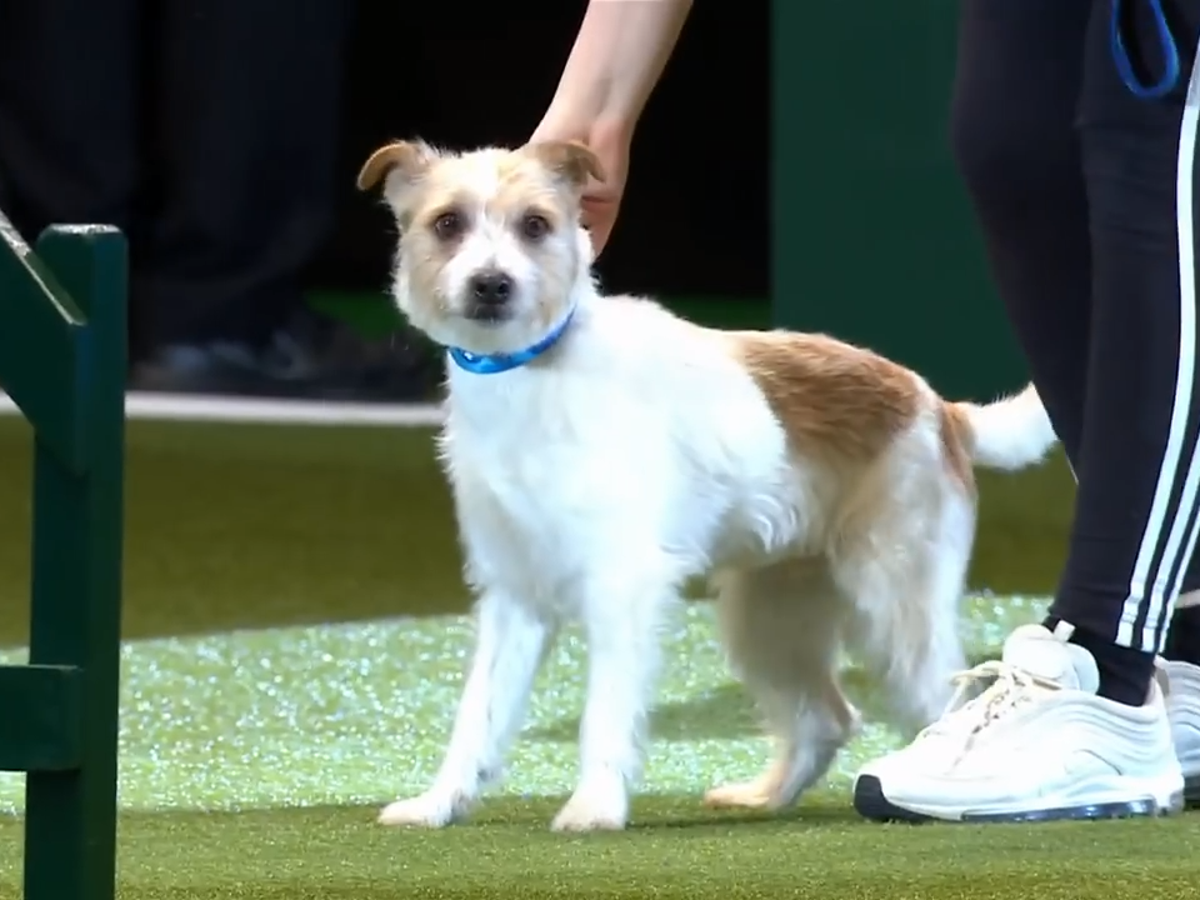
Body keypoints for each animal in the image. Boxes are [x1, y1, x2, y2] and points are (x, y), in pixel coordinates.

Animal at [357, 137, 1060, 835]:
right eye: (448, 223)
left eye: (535, 225)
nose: (492, 284)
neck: (529, 371)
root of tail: (939, 408)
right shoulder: (513, 594)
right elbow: (479, 714)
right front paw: (440, 803)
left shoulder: (622, 588)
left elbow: (605, 711)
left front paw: (595, 806)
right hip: (770, 615)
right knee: (827, 718)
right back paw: (765, 796)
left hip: (895, 603)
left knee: (948, 697)